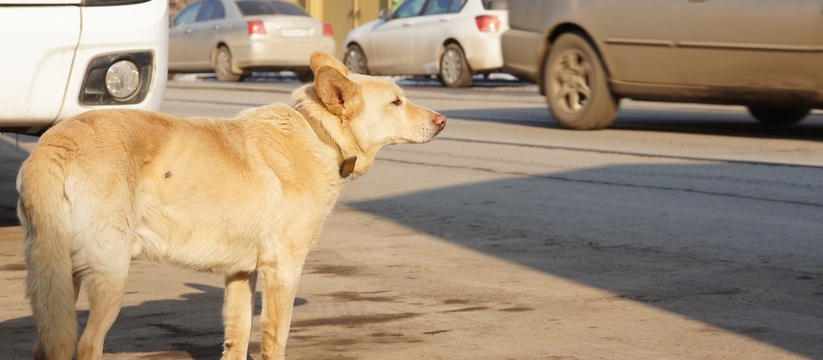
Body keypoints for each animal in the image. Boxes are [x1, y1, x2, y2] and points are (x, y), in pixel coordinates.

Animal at [16, 51, 448, 360]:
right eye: (397, 102)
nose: (444, 120)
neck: (318, 134)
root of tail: (54, 146)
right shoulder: (283, 270)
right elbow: (275, 340)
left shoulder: (240, 275)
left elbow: (238, 339)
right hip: (110, 276)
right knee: (86, 346)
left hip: (60, 279)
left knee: (44, 345)